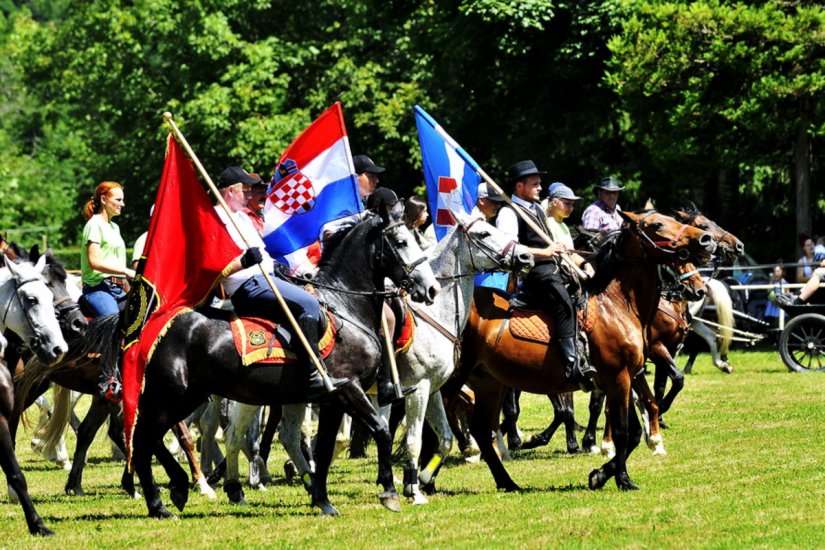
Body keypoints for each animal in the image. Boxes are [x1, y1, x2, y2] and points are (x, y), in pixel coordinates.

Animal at [444, 210, 716, 492]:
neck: (618, 305)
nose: (705, 239)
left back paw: (505, 480)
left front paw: (600, 474)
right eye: (657, 224)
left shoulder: (628, 377)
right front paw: (622, 478)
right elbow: (622, 431)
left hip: (489, 381)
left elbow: (633, 432)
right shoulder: (618, 378)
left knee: (480, 428)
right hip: (456, 376)